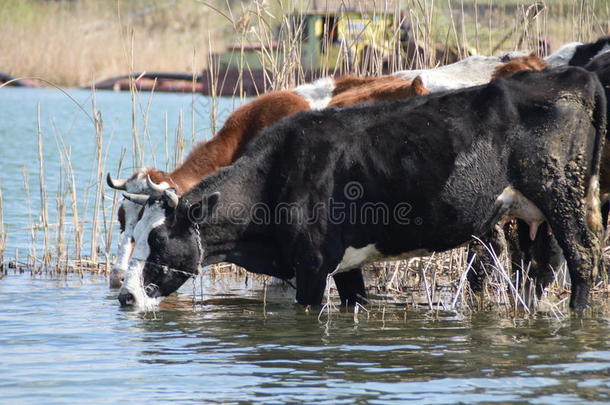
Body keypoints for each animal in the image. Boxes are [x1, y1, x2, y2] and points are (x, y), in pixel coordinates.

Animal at [119, 68, 604, 310]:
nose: (124, 295)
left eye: (159, 239)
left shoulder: (312, 267)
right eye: (128, 230)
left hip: (563, 199)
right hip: (535, 217)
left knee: (583, 261)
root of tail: (575, 77)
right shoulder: (346, 266)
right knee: (542, 270)